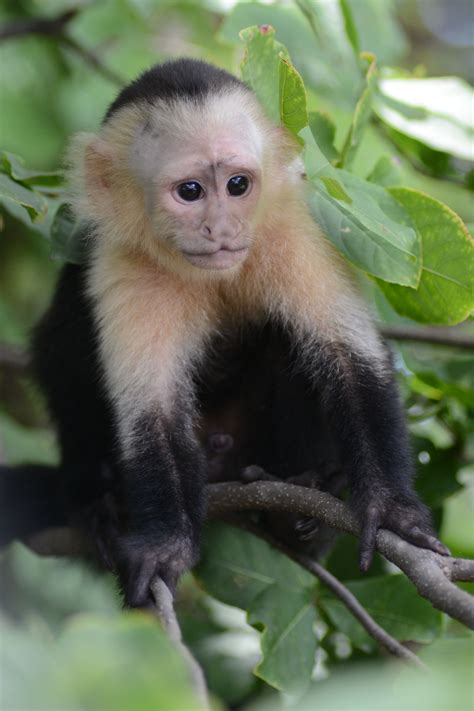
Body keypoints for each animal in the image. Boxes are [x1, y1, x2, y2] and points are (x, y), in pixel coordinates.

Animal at [0, 59, 446, 608]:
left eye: (237, 185)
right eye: (190, 191)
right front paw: (165, 546)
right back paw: (94, 501)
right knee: (64, 346)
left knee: (287, 342)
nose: (220, 228)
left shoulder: (293, 232)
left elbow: (349, 362)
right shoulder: (122, 265)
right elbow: (152, 414)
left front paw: (388, 508)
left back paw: (302, 503)